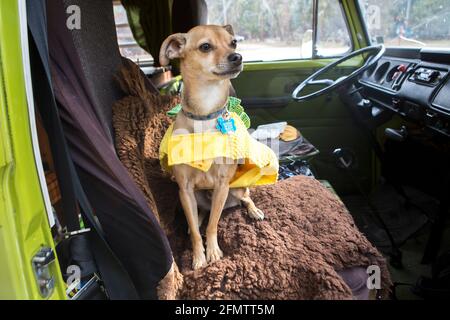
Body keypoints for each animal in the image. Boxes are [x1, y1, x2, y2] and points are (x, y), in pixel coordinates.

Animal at [160, 25, 264, 270]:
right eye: (205, 47)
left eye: (234, 42)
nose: (237, 57)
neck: (205, 113)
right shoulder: (185, 190)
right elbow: (197, 229)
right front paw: (199, 257)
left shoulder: (221, 186)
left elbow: (213, 225)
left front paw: (213, 252)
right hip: (196, 197)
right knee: (200, 216)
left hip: (235, 189)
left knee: (246, 197)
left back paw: (254, 211)